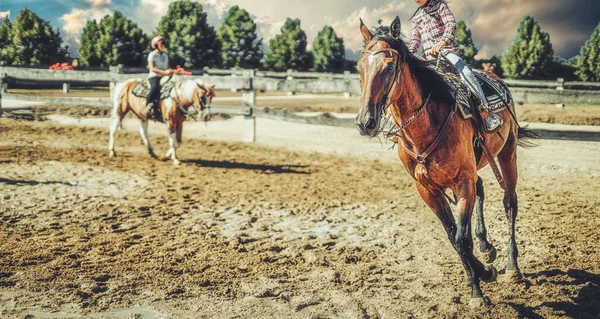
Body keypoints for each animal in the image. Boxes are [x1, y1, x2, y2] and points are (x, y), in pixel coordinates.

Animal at [356, 17, 536, 308]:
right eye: (360, 67)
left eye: (389, 66)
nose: (365, 122)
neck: (426, 126)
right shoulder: (428, 190)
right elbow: (453, 237)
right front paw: (479, 278)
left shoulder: (462, 182)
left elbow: (462, 239)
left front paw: (481, 283)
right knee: (482, 189)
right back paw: (487, 247)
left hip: (507, 154)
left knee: (510, 203)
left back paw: (512, 268)